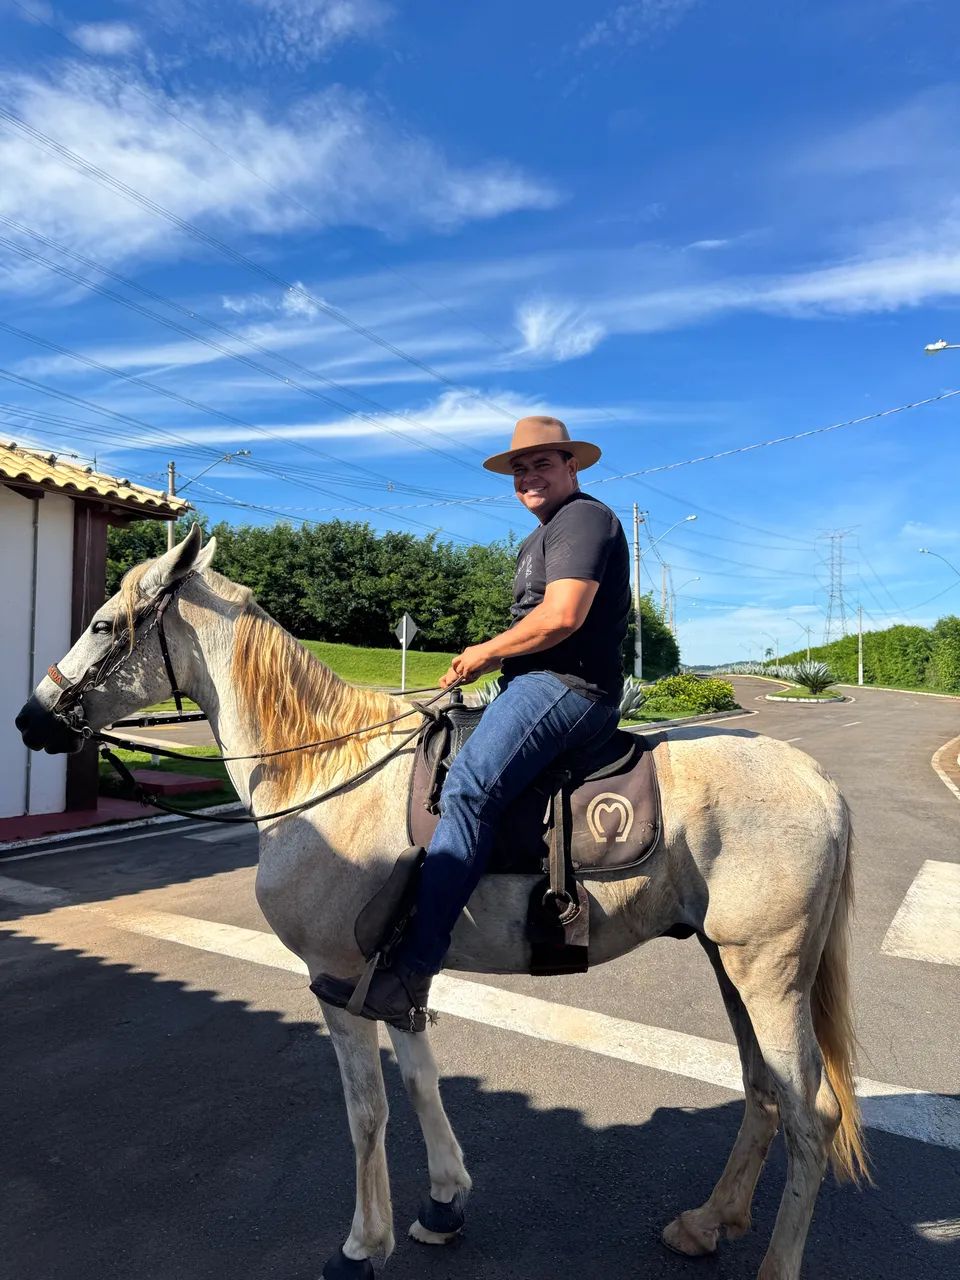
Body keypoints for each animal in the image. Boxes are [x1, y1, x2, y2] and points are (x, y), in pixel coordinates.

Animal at [17, 527, 867, 1280]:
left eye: (102, 625)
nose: (31, 718)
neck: (330, 769)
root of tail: (818, 782)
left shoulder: (337, 980)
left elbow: (366, 1113)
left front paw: (363, 1247)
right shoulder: (397, 976)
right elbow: (420, 1082)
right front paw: (444, 1202)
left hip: (768, 974)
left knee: (811, 1116)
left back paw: (773, 1264)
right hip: (732, 966)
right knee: (763, 1092)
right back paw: (708, 1221)